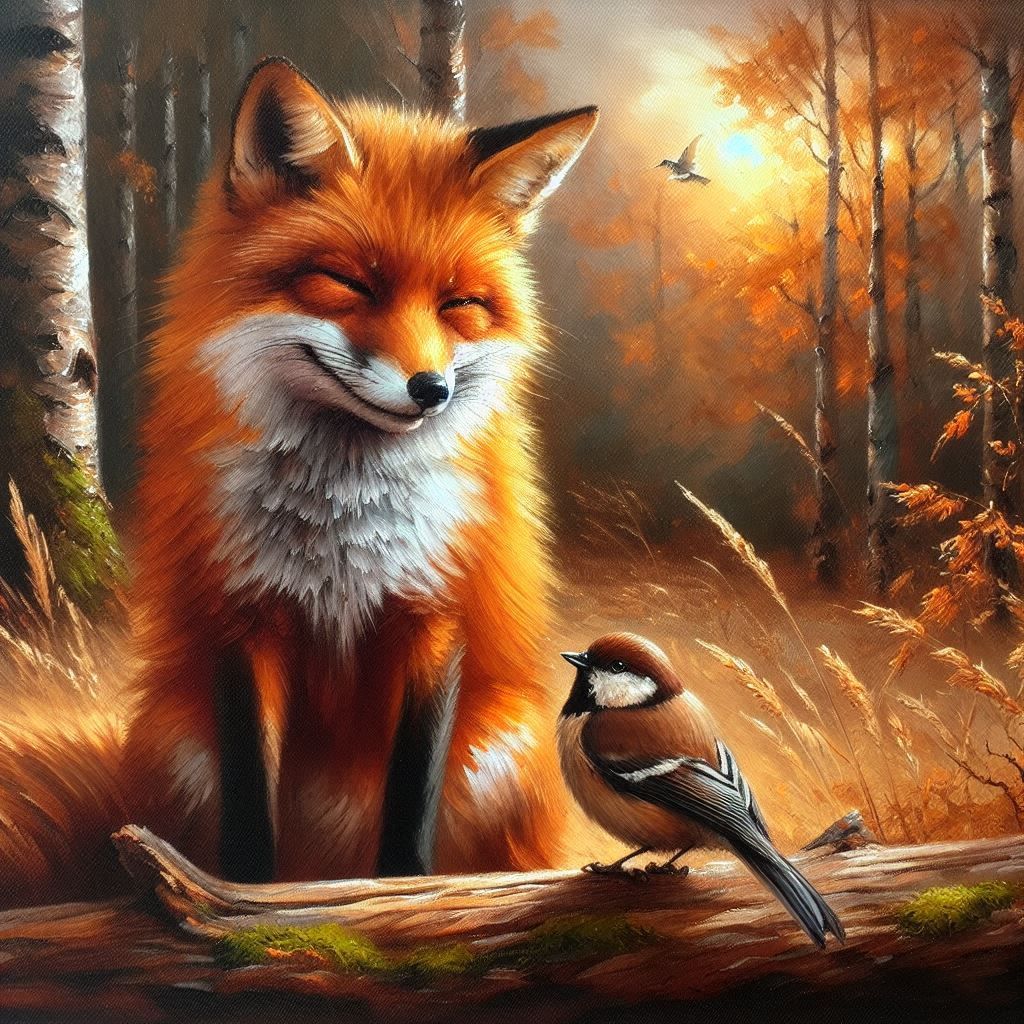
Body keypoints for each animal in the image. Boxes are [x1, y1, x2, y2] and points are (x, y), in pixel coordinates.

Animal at [0, 58, 598, 902]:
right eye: (349, 285)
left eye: (459, 303)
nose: (431, 390)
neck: (341, 521)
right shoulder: (240, 615)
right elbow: (252, 803)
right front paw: (250, 903)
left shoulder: (433, 615)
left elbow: (412, 800)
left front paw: (402, 900)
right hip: (175, 740)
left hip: (501, 753)